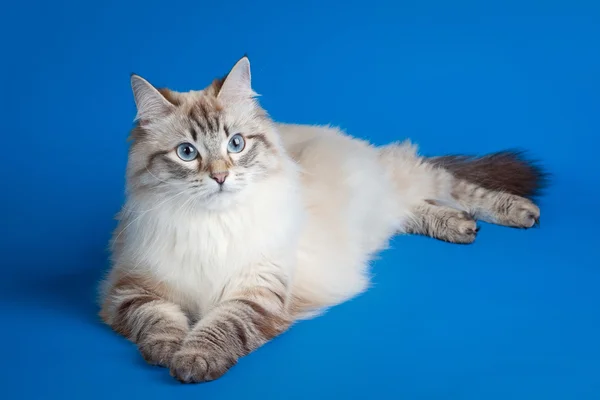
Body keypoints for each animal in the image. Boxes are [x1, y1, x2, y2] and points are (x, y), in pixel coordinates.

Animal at [98, 54, 548, 382]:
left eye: (236, 144)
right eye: (187, 153)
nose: (221, 176)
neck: (212, 224)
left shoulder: (257, 289)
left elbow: (220, 326)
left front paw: (193, 359)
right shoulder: (132, 287)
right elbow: (158, 322)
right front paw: (166, 351)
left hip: (404, 180)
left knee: (451, 186)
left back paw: (517, 212)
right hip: (384, 212)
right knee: (413, 210)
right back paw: (460, 226)